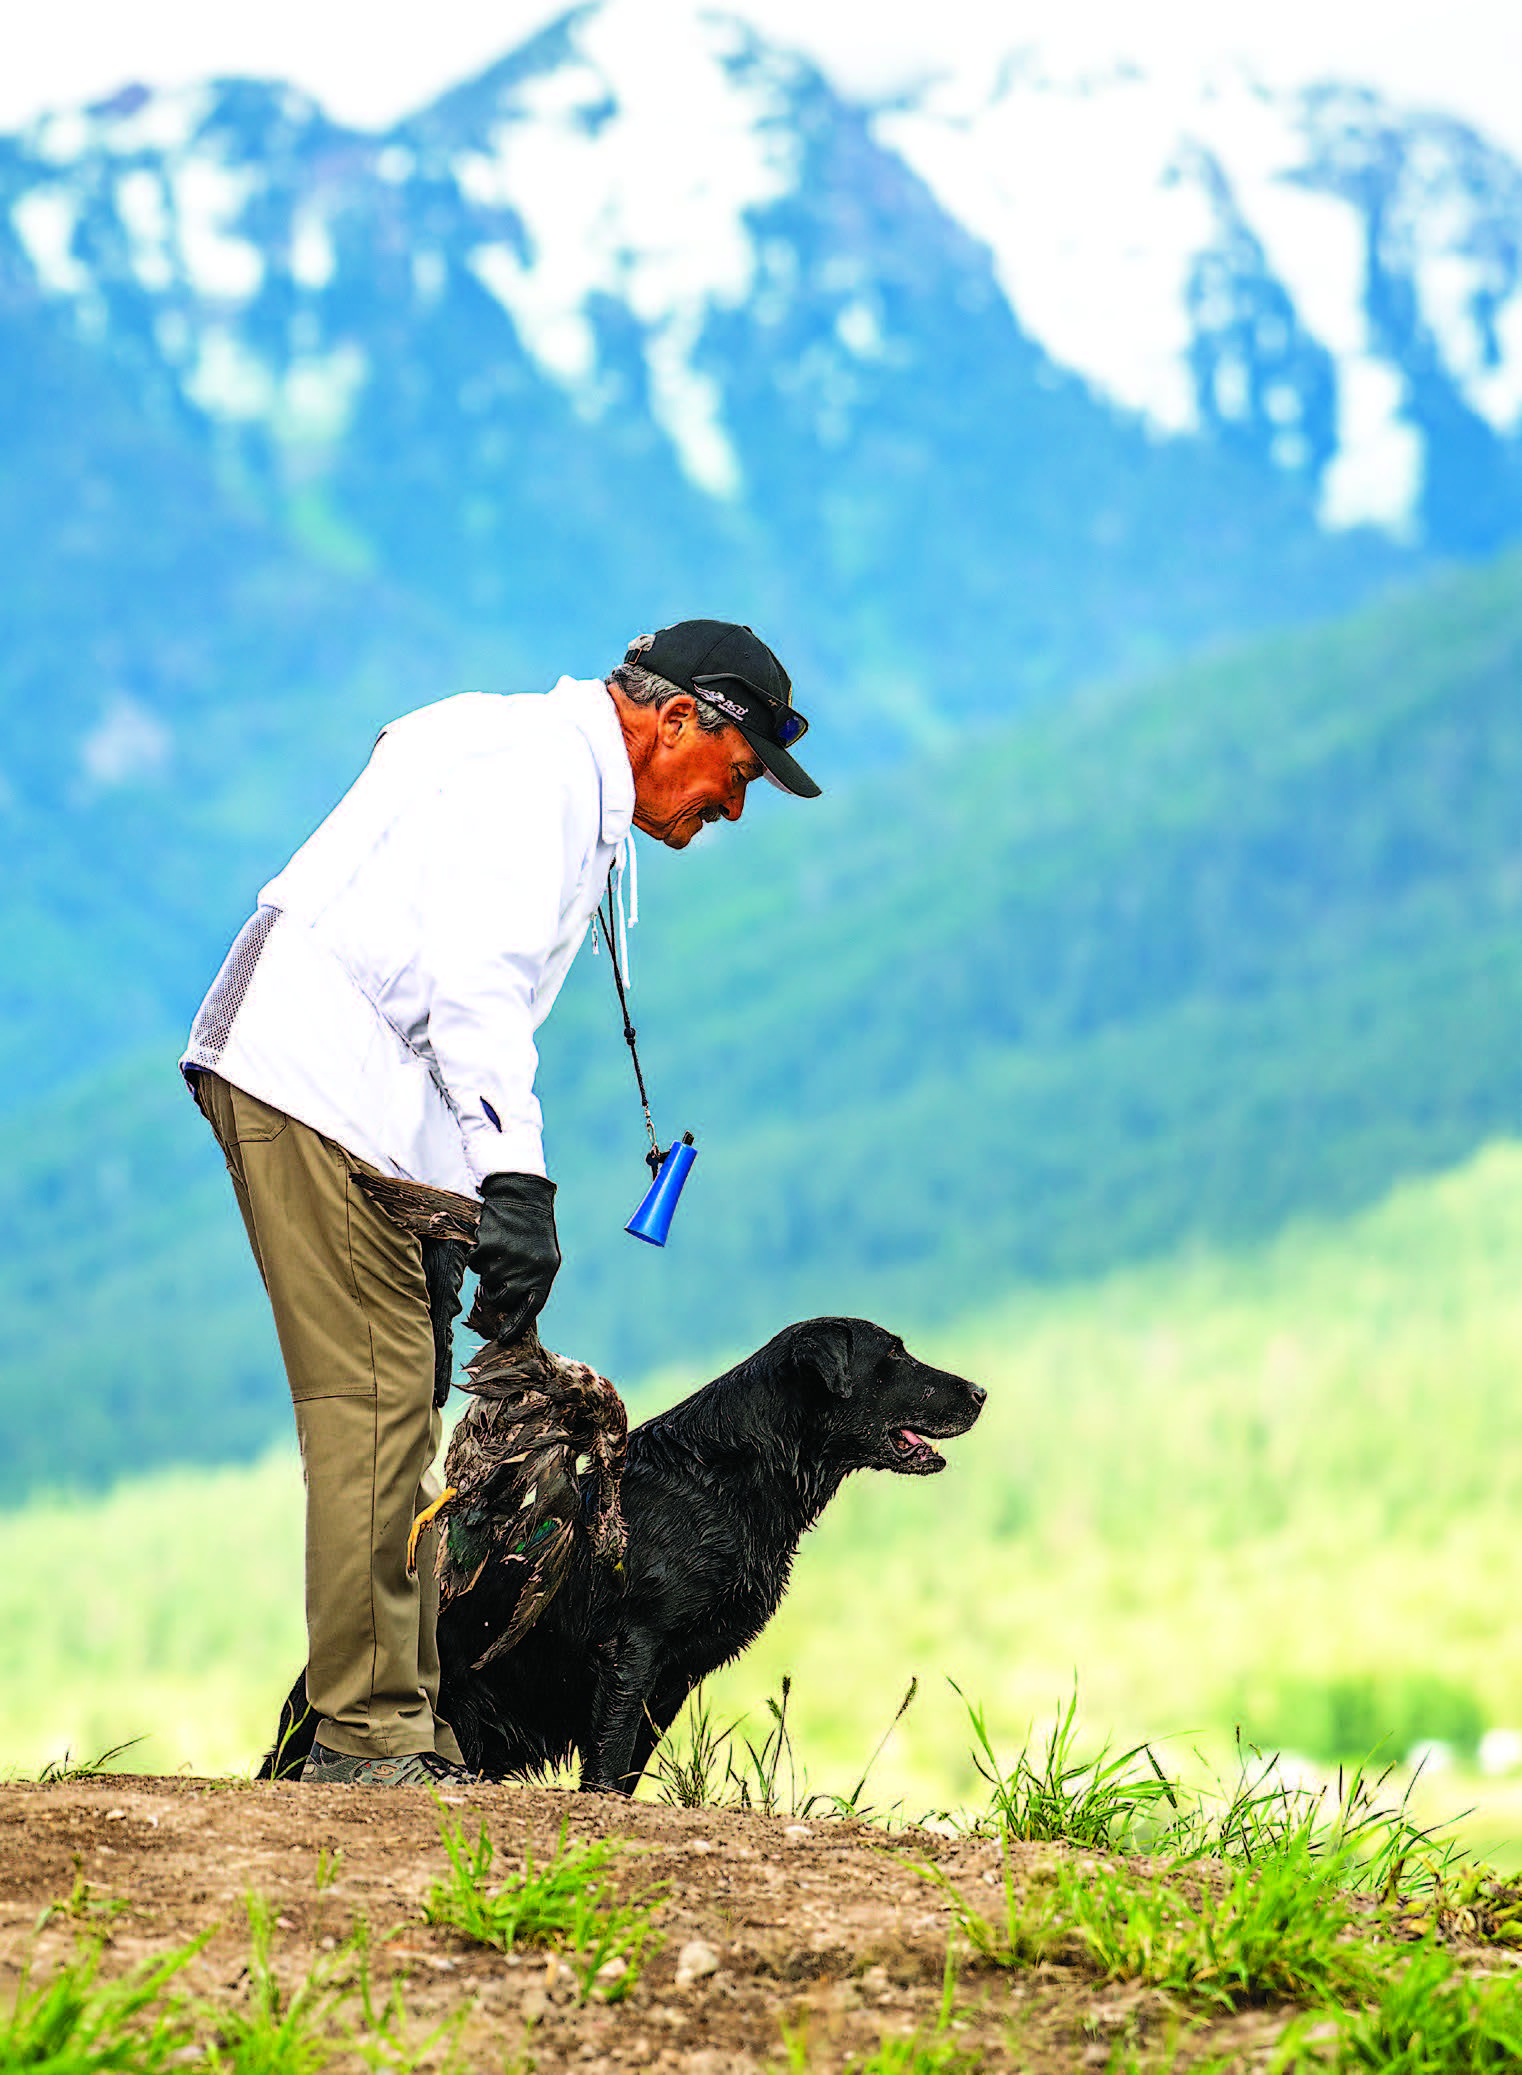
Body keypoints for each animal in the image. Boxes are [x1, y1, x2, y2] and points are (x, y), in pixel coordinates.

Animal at [262, 1319, 984, 1792]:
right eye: (894, 1356)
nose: (979, 1392)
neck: (723, 1478)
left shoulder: (675, 1674)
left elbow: (631, 1764)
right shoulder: (633, 1646)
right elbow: (609, 1760)